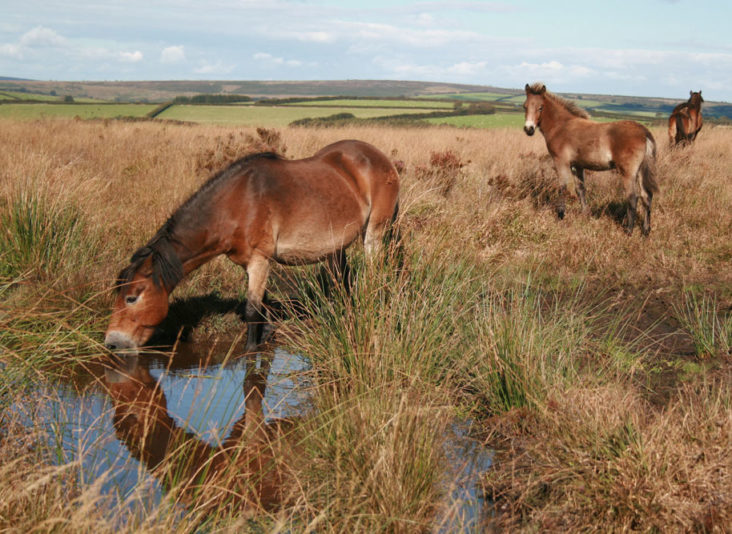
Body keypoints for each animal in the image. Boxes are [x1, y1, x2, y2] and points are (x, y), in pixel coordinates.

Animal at [103, 140, 398, 354]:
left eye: (132, 298)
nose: (112, 342)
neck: (237, 203)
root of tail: (379, 157)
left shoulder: (259, 260)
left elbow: (251, 310)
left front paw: (250, 349)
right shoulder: (251, 264)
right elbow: (262, 305)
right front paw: (265, 336)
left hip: (373, 234)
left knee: (373, 275)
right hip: (337, 248)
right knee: (342, 280)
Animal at [524, 82, 660, 237]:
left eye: (540, 107)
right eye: (525, 106)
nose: (529, 129)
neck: (561, 126)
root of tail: (644, 131)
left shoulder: (560, 161)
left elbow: (563, 187)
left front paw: (560, 216)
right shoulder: (577, 165)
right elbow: (580, 189)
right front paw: (585, 215)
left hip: (628, 172)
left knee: (633, 197)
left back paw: (629, 231)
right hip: (642, 170)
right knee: (646, 196)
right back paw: (646, 231)